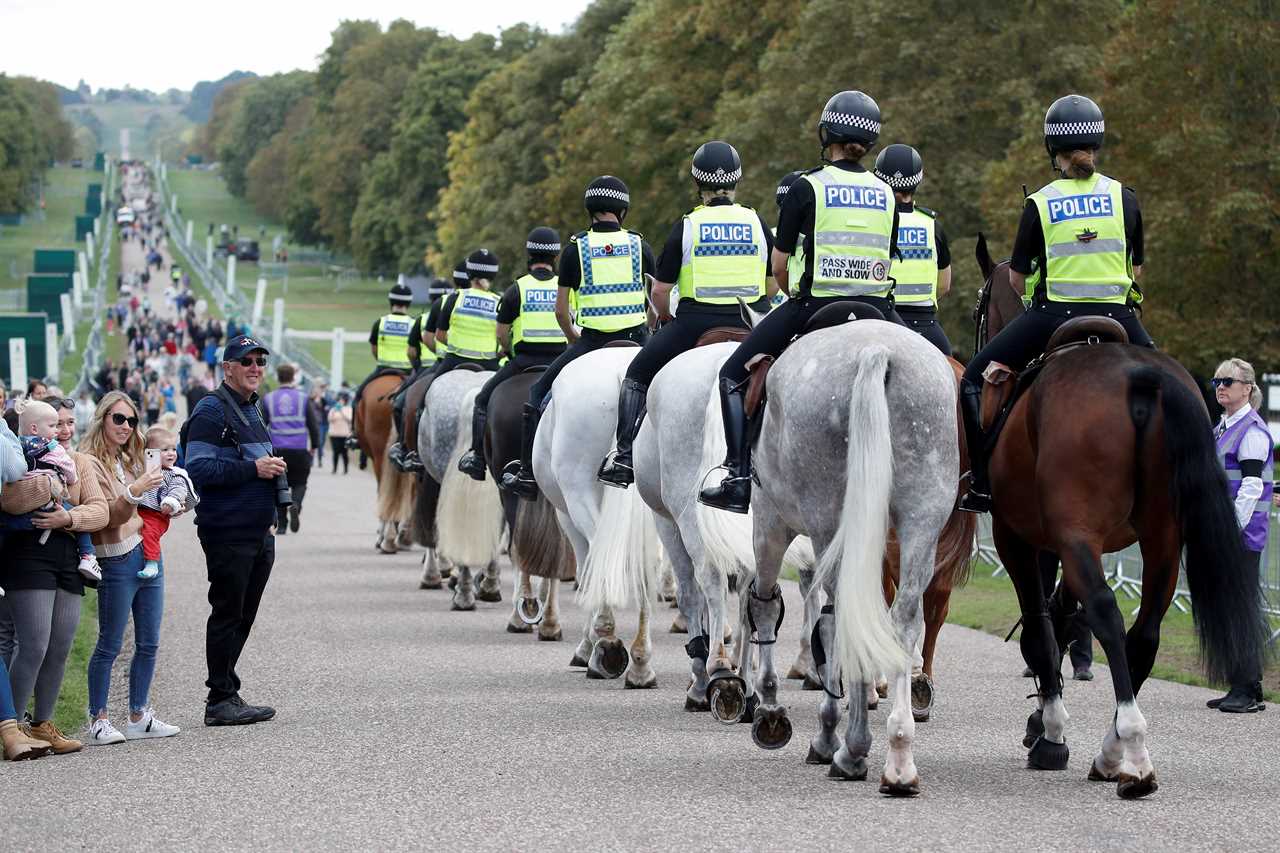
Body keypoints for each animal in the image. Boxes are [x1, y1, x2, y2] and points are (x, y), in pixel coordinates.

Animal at [972, 234, 1264, 799]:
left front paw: (1049, 732)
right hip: (1163, 540)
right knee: (1144, 631)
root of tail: (1139, 376)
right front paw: (1044, 721)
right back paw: (1114, 750)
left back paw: (1129, 747)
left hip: (1080, 535)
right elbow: (1064, 618)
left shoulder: (1021, 537)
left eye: (979, 305)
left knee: (1106, 611)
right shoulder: (1074, 543)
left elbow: (1043, 627)